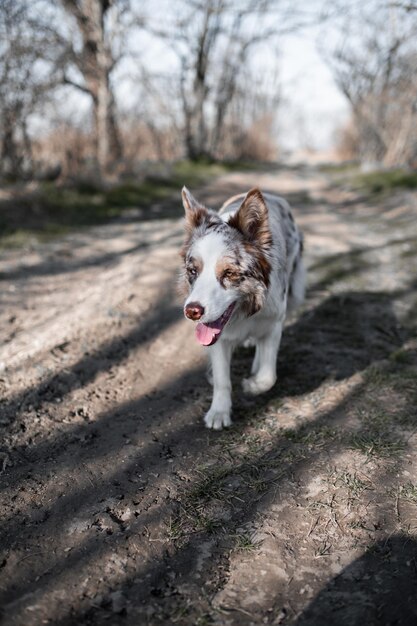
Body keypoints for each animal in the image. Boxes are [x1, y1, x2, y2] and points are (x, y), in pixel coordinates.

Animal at [178, 185, 302, 428]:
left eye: (229, 273)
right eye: (192, 271)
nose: (192, 311)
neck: (245, 311)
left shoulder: (274, 323)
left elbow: (268, 376)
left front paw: (252, 385)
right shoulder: (217, 338)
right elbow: (222, 379)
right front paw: (219, 412)